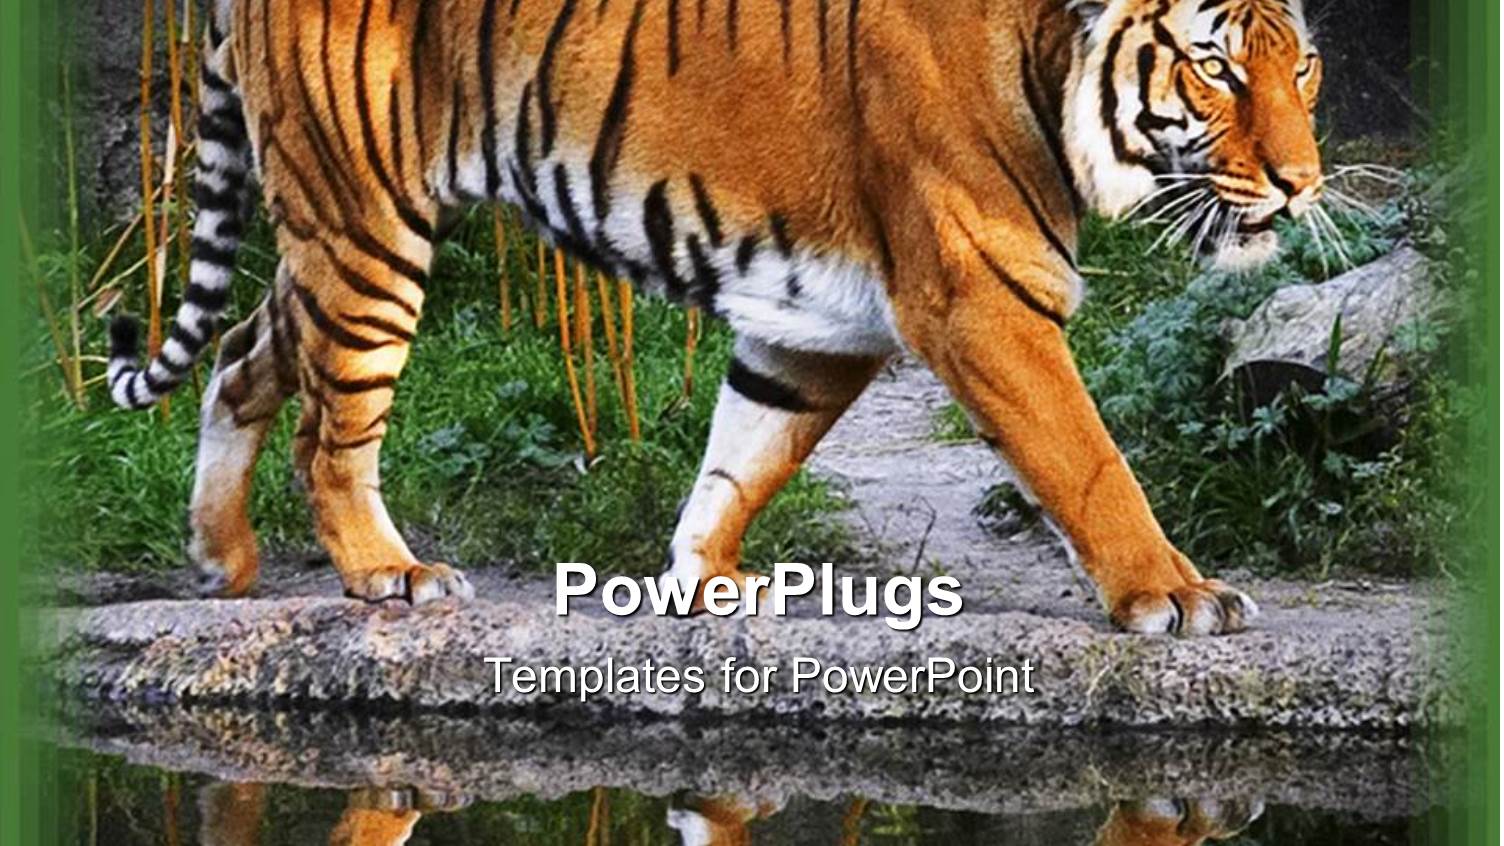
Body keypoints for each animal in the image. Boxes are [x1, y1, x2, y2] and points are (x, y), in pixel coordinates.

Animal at [107, 0, 1324, 636]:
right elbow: (1088, 461)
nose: (1303, 183)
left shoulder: (812, 328)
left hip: (336, 231)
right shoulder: (980, 300)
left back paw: (222, 561)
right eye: (1214, 69)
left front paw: (704, 578)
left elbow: (745, 455)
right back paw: (387, 573)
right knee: (328, 428)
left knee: (239, 358)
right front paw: (1176, 595)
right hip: (366, 226)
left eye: (1301, 65)